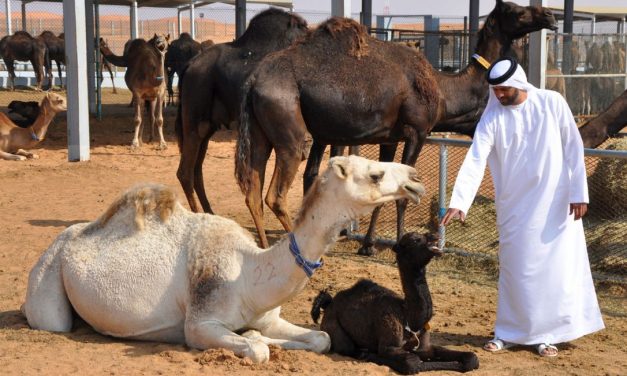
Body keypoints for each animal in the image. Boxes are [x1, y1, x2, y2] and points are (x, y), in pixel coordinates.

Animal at [24, 155, 426, 362]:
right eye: (375, 174)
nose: (415, 178)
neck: (248, 274)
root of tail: (62, 239)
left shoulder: (269, 316)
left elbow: (320, 339)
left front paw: (259, 334)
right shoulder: (200, 324)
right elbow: (257, 349)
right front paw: (252, 340)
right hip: (49, 285)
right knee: (53, 320)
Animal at [175, 8, 308, 214]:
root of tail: (189, 67)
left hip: (206, 127)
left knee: (197, 169)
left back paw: (210, 213)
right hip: (194, 118)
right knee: (185, 172)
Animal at [233, 1, 556, 251]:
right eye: (516, 11)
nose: (550, 16)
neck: (442, 90)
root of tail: (253, 82)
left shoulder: (389, 137)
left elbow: (382, 191)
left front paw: (368, 245)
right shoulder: (417, 131)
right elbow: (404, 193)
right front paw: (401, 242)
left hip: (262, 135)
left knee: (253, 191)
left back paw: (264, 248)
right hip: (291, 130)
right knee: (275, 194)